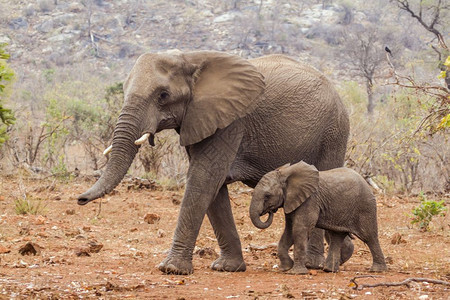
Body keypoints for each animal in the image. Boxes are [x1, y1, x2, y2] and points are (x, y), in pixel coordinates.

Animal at [77, 51, 352, 274]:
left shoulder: (231, 122)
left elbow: (204, 178)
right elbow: (213, 187)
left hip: (333, 132)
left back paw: (315, 265)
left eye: (163, 95)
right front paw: (228, 268)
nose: (80, 199)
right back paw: (343, 254)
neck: (190, 58)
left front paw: (171, 269)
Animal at [250, 162, 386, 274]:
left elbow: (299, 229)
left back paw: (377, 270)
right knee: (336, 236)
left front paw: (296, 272)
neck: (286, 173)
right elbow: (289, 231)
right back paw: (329, 270)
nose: (269, 211)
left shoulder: (310, 200)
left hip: (365, 206)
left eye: (267, 195)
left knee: (369, 237)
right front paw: (285, 268)